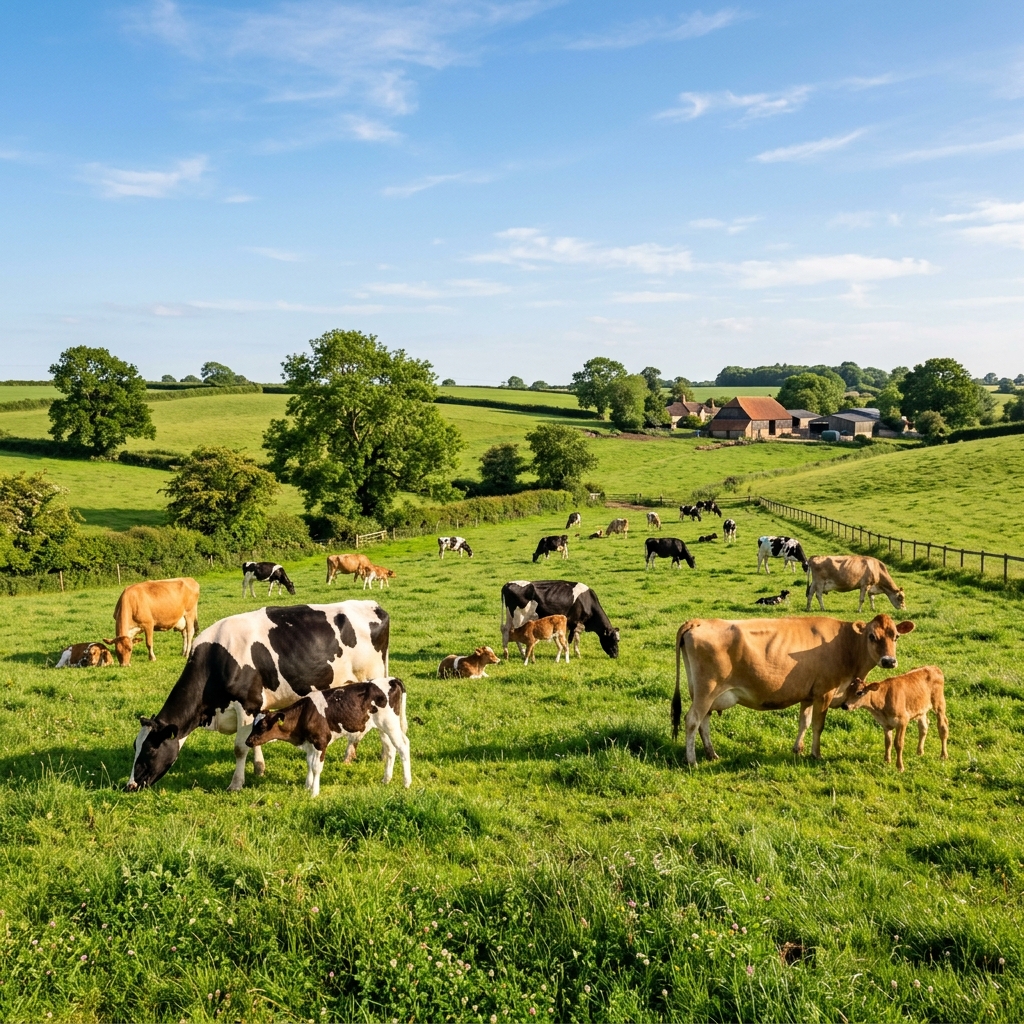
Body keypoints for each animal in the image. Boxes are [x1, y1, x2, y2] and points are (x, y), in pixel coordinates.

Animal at [126, 600, 390, 792]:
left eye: (150, 750)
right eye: (134, 747)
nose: (130, 785)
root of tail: (373, 605)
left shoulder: (247, 703)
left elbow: (240, 747)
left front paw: (236, 784)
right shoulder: (259, 704)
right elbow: (255, 738)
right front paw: (260, 768)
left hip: (374, 677)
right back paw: (351, 752)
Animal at [245, 679, 411, 795]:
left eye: (262, 726)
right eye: (253, 725)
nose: (248, 741)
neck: (304, 713)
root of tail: (391, 679)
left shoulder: (321, 741)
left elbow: (316, 767)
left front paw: (314, 792)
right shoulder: (310, 743)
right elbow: (309, 763)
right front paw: (307, 786)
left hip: (390, 724)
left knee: (403, 746)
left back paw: (407, 783)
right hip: (382, 727)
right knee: (391, 749)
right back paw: (386, 779)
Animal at [672, 613, 916, 766]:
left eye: (896, 636)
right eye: (872, 636)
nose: (889, 661)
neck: (847, 646)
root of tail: (698, 621)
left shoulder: (808, 694)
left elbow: (804, 722)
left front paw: (798, 749)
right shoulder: (825, 692)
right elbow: (818, 725)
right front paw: (816, 754)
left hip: (704, 693)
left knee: (704, 722)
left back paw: (711, 754)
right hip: (707, 690)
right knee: (692, 720)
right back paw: (692, 760)